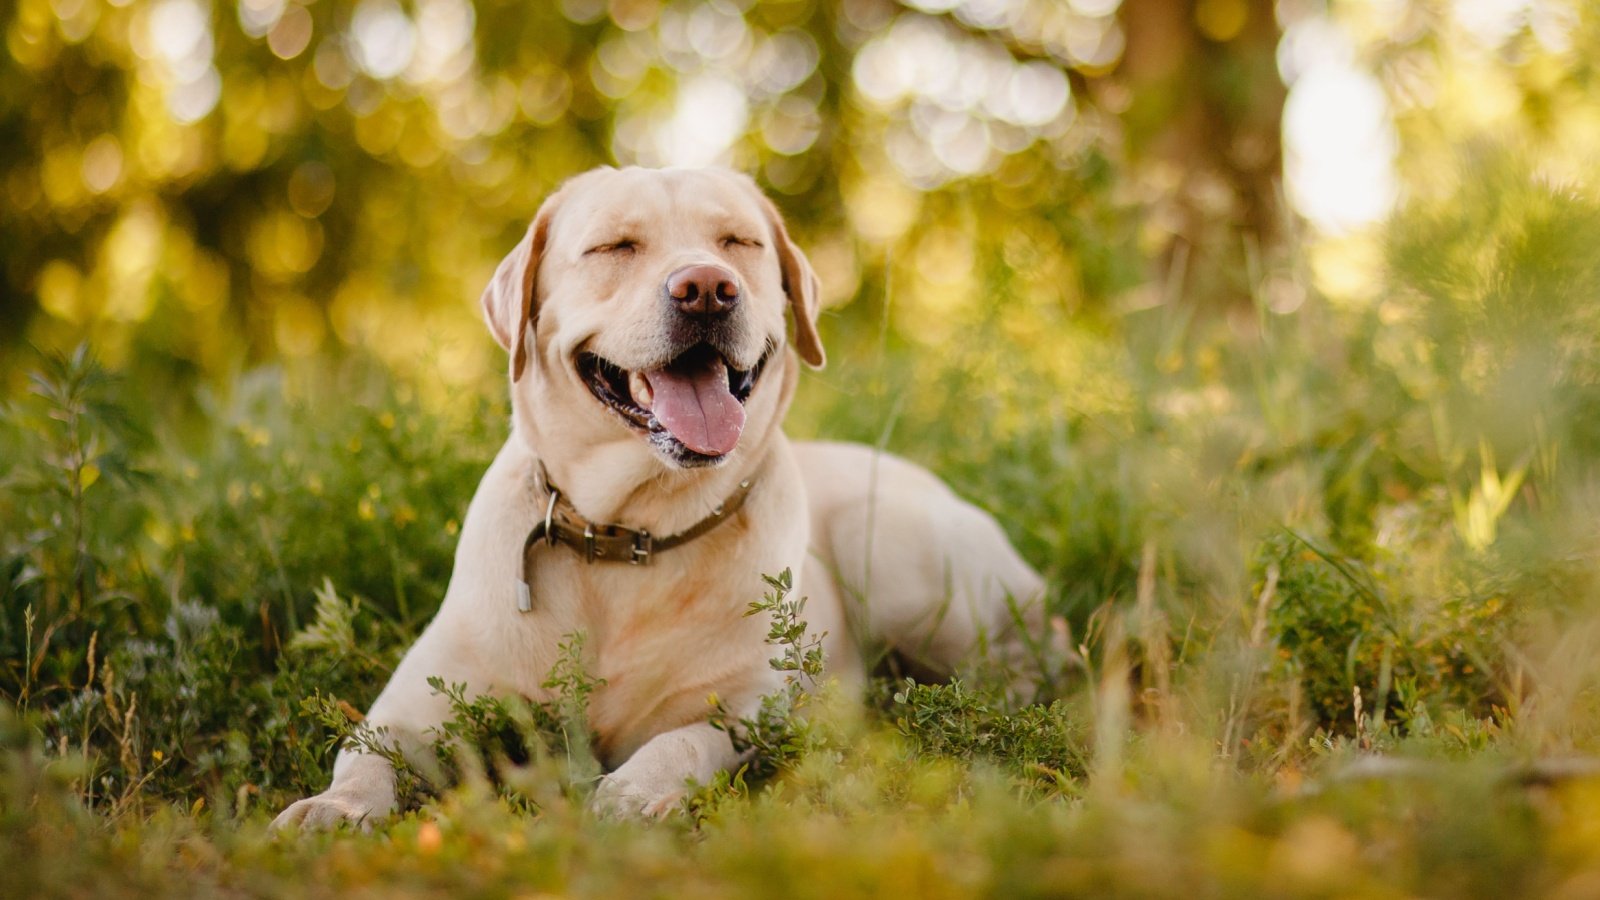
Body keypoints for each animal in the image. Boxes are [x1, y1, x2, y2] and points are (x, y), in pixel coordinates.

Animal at [275, 164, 1049, 826]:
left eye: (737, 242)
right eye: (616, 246)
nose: (707, 287)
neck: (627, 534)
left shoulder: (745, 709)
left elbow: (683, 739)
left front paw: (634, 791)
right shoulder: (413, 706)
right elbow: (365, 754)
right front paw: (333, 808)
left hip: (893, 547)